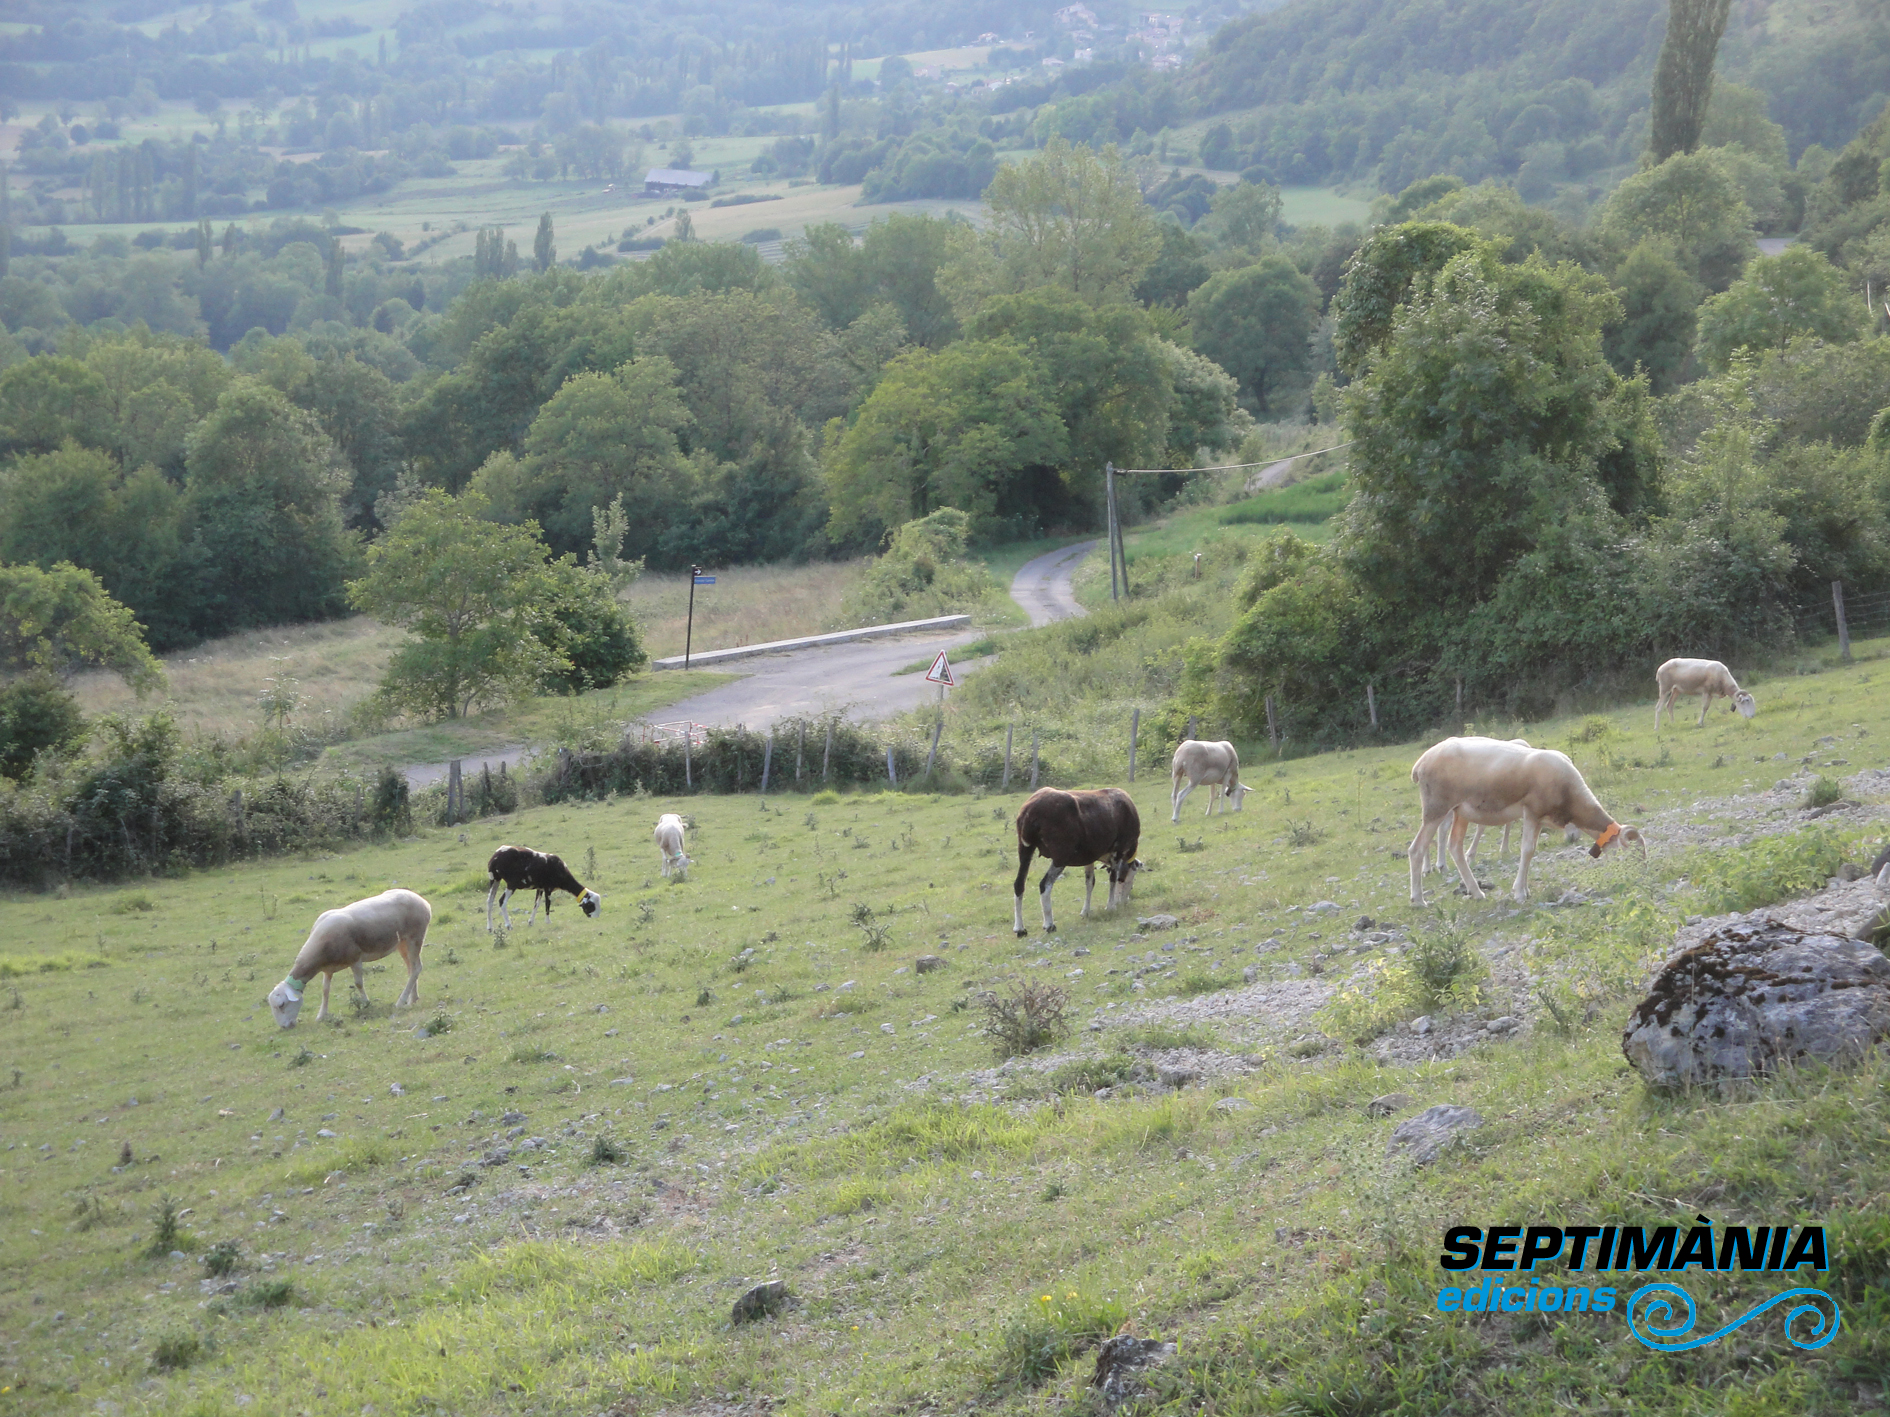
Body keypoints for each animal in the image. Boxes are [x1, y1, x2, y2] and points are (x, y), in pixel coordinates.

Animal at [266, 887, 432, 1035]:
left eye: (281, 1004)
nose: (284, 1027)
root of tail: (423, 902)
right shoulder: (328, 969)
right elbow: (325, 990)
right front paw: (321, 1015)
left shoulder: (355, 959)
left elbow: (358, 984)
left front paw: (366, 1004)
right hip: (402, 943)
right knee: (411, 969)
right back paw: (412, 999)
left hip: (415, 937)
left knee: (416, 968)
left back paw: (401, 1002)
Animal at [1013, 782, 1141, 937]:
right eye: (1132, 878)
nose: (1125, 902)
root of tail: (1030, 810)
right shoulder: (1118, 851)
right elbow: (1113, 879)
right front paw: (1111, 907)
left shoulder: (1090, 857)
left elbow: (1090, 883)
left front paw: (1085, 911)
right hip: (1061, 856)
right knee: (1045, 885)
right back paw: (1049, 925)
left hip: (1025, 848)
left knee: (1019, 884)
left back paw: (1020, 929)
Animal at [1406, 736, 1640, 903]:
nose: (1628, 873)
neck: (1571, 797)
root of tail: (1419, 764)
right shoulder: (1533, 813)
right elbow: (1527, 850)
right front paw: (1519, 893)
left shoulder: (1537, 818)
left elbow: (1531, 851)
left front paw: (1524, 889)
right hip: (1436, 807)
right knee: (1417, 849)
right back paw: (1418, 899)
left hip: (1460, 811)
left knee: (1455, 846)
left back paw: (1476, 892)